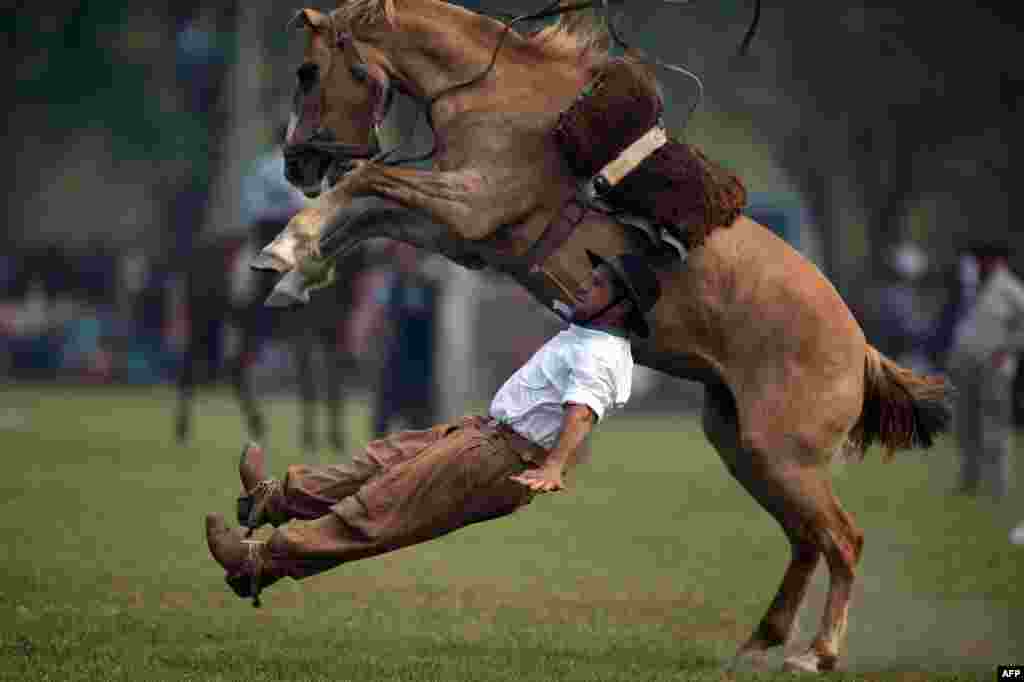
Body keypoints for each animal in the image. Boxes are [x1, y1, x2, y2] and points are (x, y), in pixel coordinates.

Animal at [256, 0, 950, 667]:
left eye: (308, 71)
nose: (296, 163)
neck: (501, 97)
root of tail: (859, 347)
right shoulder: (461, 234)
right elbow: (369, 214)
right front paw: (293, 269)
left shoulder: (470, 204)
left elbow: (366, 183)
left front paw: (285, 247)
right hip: (744, 447)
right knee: (807, 541)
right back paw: (760, 643)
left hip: (786, 457)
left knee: (843, 539)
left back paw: (818, 652)